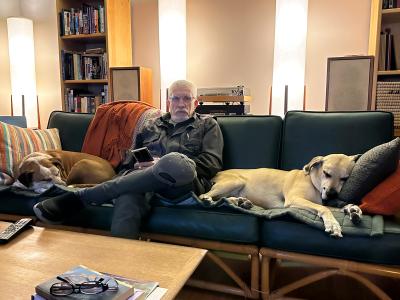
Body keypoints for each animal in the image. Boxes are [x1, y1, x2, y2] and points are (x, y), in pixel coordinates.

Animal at [200, 155, 362, 237]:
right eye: (326, 173)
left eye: (345, 178)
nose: (332, 194)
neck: (311, 181)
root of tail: (216, 174)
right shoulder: (295, 200)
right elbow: (324, 209)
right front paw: (333, 224)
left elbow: (331, 207)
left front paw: (353, 209)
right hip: (235, 181)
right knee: (204, 196)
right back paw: (210, 199)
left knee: (223, 199)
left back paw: (241, 202)